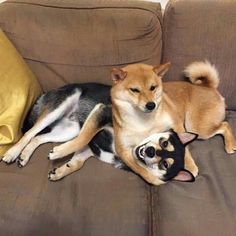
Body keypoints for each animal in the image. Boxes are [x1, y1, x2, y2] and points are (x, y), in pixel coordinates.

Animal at [2, 84, 195, 183]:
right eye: (164, 142)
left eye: (164, 164)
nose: (150, 151)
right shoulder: (102, 113)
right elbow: (84, 138)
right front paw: (59, 153)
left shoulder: (94, 149)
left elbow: (78, 162)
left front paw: (61, 171)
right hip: (61, 106)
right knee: (30, 132)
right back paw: (13, 152)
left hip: (70, 129)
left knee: (38, 137)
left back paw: (24, 156)